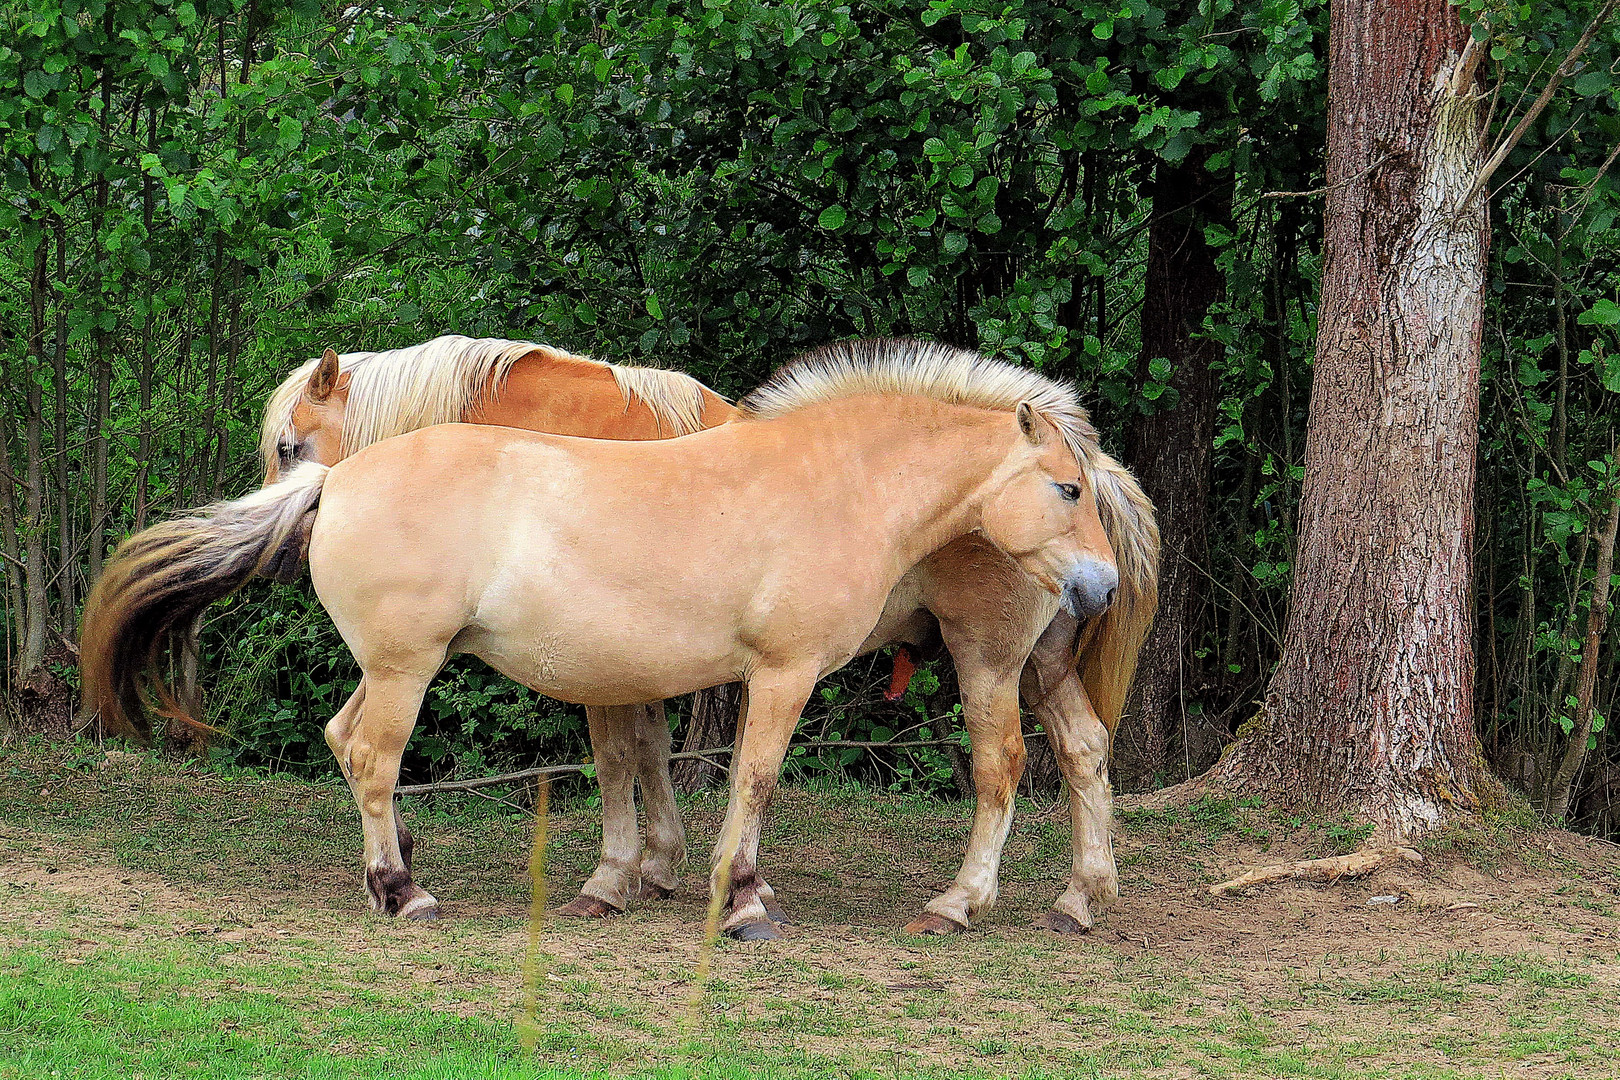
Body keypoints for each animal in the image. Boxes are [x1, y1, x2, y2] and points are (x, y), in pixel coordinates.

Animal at [82, 344, 1121, 939]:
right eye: (1064, 489)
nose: (1101, 583)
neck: (834, 480)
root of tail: (340, 486)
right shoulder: (778, 674)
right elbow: (742, 777)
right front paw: (736, 897)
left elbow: (673, 768)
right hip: (405, 670)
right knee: (372, 757)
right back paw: (402, 892)